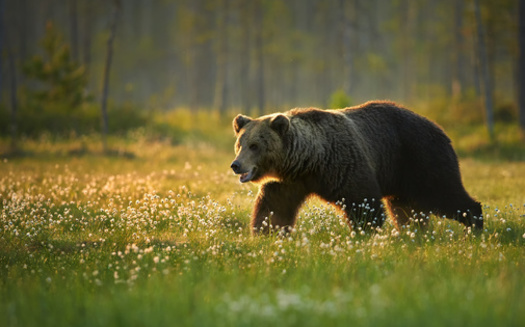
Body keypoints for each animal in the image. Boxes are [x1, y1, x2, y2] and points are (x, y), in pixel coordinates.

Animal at [231, 101, 482, 234]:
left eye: (255, 146)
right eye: (240, 144)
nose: (236, 165)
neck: (309, 161)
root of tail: (440, 128)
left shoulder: (343, 165)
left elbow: (363, 203)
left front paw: (362, 233)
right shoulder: (289, 182)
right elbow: (274, 207)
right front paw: (266, 232)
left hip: (421, 158)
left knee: (444, 193)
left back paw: (474, 226)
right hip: (402, 177)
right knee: (405, 209)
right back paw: (413, 233)